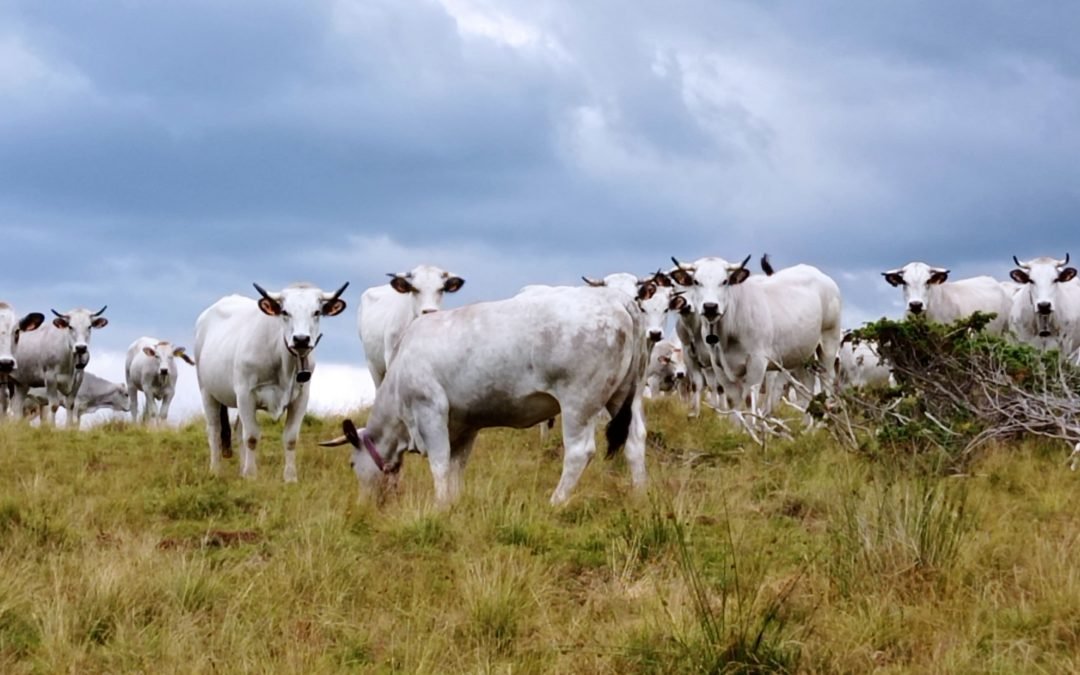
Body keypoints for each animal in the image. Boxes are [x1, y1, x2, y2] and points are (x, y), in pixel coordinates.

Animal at [195, 282, 348, 482]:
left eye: (316, 312)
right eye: (285, 312)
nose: (301, 339)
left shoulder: (301, 398)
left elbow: (290, 438)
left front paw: (290, 478)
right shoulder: (246, 394)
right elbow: (252, 436)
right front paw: (251, 476)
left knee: (238, 430)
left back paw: (241, 470)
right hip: (207, 391)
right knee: (214, 430)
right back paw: (216, 470)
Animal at [321, 286, 647, 506]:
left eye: (352, 464)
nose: (365, 504)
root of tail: (615, 297)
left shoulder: (430, 411)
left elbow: (440, 463)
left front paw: (439, 506)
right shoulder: (465, 424)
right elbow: (456, 466)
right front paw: (452, 503)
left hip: (579, 401)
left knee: (580, 452)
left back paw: (555, 501)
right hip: (624, 397)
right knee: (635, 441)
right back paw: (639, 494)